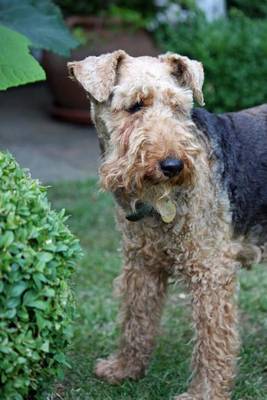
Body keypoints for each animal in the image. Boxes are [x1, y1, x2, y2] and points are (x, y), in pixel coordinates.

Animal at [67, 50, 267, 400]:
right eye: (135, 105)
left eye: (178, 107)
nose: (173, 165)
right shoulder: (141, 262)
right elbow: (136, 318)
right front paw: (124, 369)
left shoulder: (210, 270)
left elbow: (212, 340)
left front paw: (205, 393)